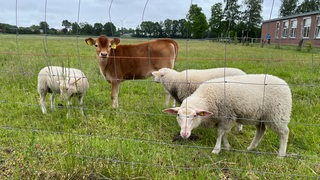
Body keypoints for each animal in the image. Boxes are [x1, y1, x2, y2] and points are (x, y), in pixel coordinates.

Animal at [164, 74, 292, 157]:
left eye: (195, 115)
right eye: (178, 115)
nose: (184, 134)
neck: (206, 98)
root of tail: (284, 83)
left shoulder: (227, 116)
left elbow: (220, 133)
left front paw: (216, 149)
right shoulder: (224, 119)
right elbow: (224, 133)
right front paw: (227, 146)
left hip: (277, 114)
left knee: (284, 133)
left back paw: (281, 154)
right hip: (261, 116)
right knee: (261, 130)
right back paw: (251, 148)